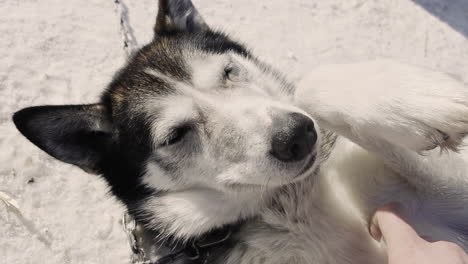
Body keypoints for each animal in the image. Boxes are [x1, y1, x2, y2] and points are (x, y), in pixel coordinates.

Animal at [12, 0, 468, 264]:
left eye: (229, 72)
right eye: (176, 135)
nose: (297, 135)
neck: (284, 207)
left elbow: (311, 86)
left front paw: (422, 102)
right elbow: (309, 87)